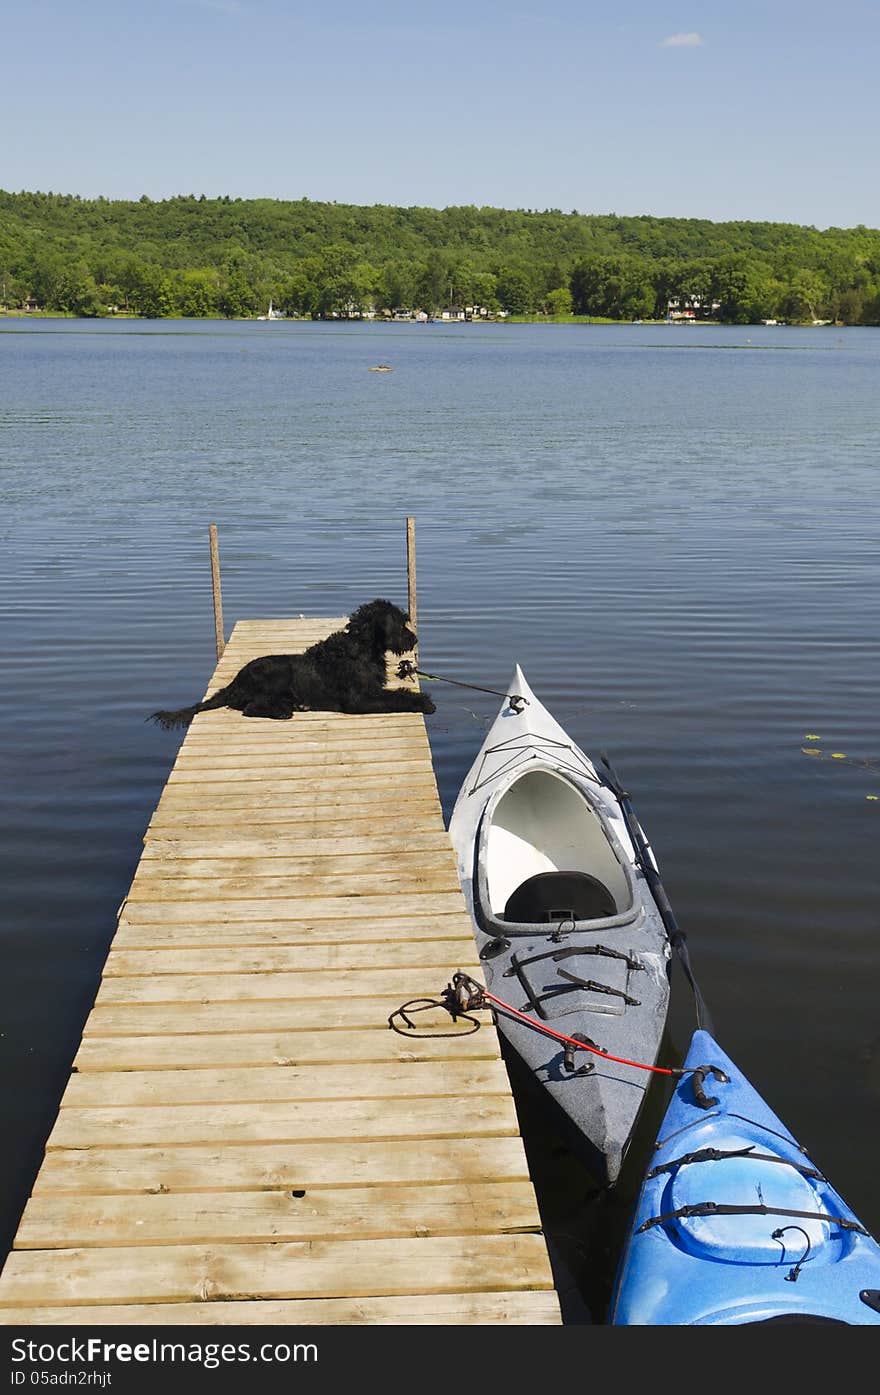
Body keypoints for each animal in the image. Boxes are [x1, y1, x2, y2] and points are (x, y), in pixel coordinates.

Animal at [149, 597, 435, 730]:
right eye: (399, 622)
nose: (414, 638)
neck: (362, 647)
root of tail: (235, 682)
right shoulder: (359, 699)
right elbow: (395, 697)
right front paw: (423, 702)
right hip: (273, 674)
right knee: (250, 707)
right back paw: (282, 711)